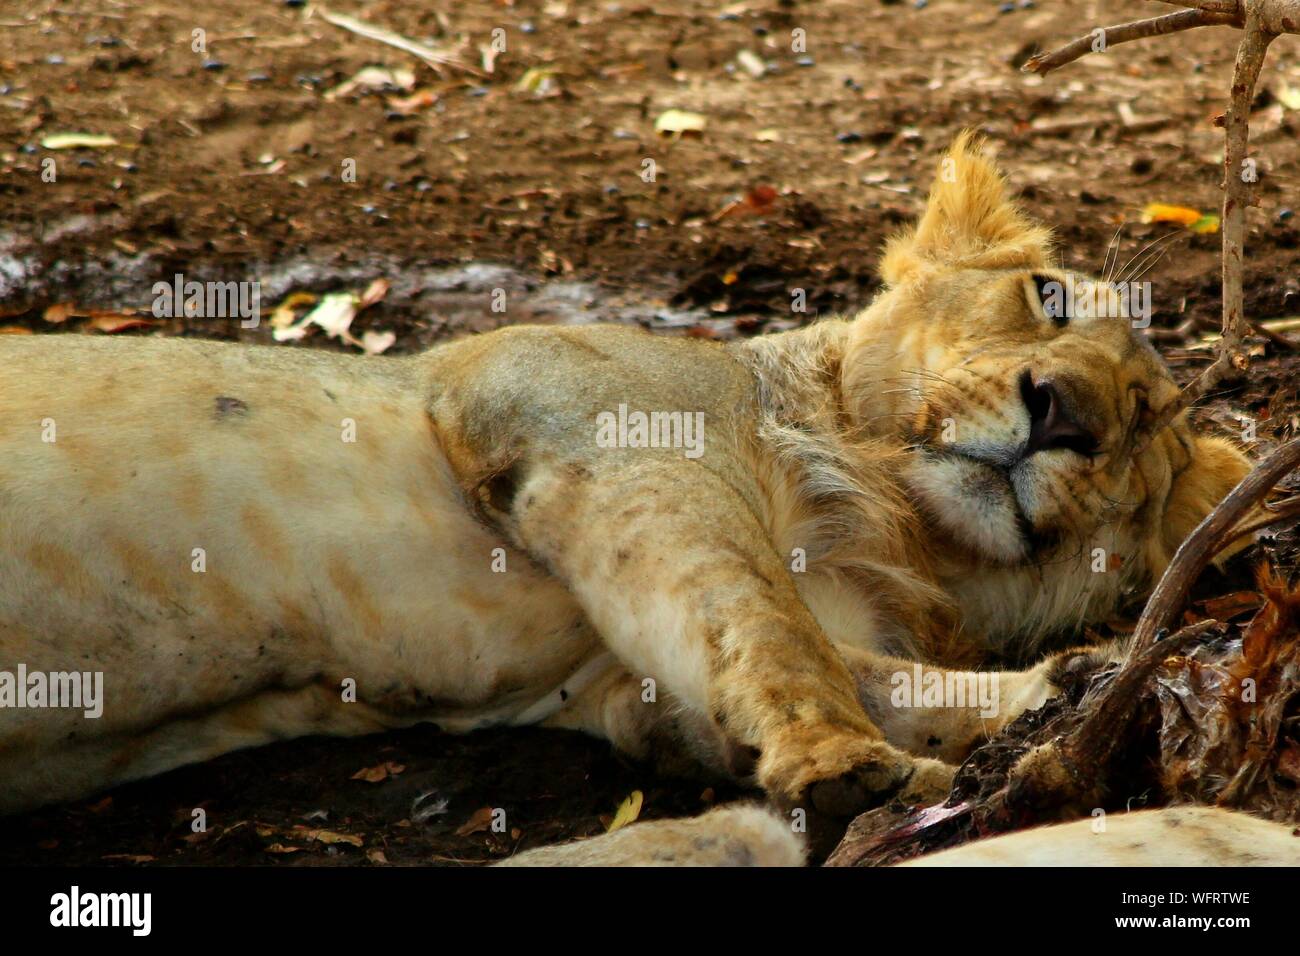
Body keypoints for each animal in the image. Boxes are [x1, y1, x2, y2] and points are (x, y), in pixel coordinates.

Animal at [0, 134, 1253, 859]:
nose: (1063, 409)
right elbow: (765, 617)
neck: (883, 514)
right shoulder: (580, 424)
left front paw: (1069, 688)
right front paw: (843, 764)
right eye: (1047, 297)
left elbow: (860, 672)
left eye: (1143, 415)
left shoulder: (624, 689)